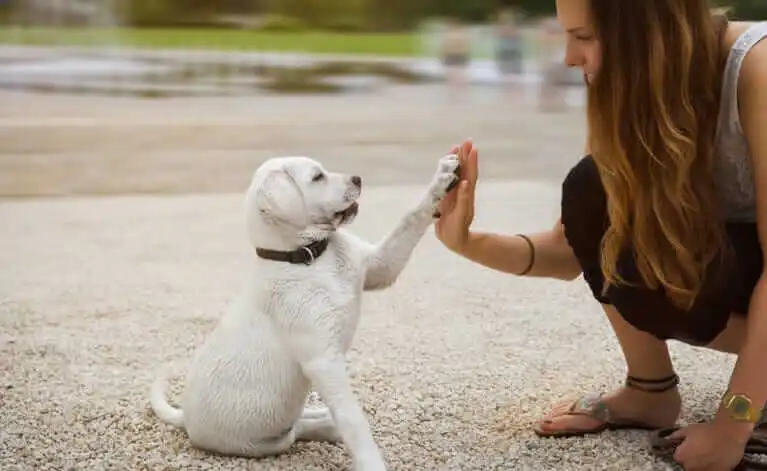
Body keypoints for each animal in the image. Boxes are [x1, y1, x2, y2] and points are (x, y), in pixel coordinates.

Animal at [153, 153, 460, 470]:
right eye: (317, 177)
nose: (358, 179)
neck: (310, 257)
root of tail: (184, 418)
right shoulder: (324, 361)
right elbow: (353, 420)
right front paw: (371, 463)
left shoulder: (380, 266)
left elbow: (409, 219)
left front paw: (442, 178)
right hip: (265, 442)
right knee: (297, 429)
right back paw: (326, 424)